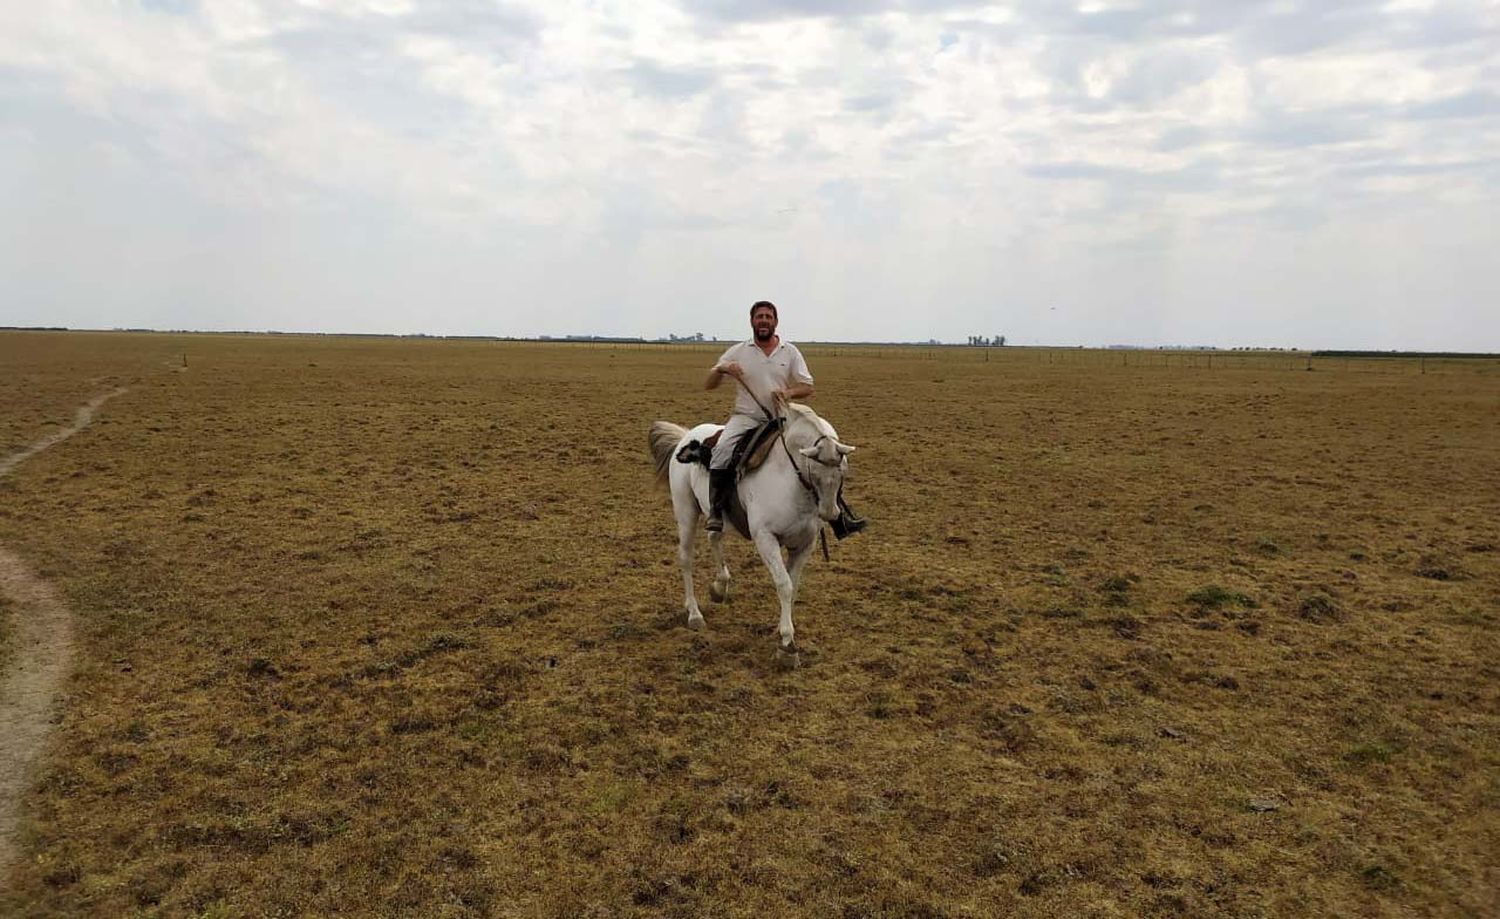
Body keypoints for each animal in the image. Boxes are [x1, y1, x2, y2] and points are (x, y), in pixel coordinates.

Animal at [648, 404, 858, 656]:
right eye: (815, 471)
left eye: (842, 472)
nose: (830, 513)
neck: (788, 479)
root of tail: (687, 436)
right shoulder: (766, 539)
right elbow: (784, 584)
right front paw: (787, 642)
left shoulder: (805, 544)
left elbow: (792, 585)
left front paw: (783, 629)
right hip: (686, 511)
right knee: (686, 558)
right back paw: (694, 613)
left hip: (715, 515)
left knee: (713, 537)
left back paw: (720, 587)